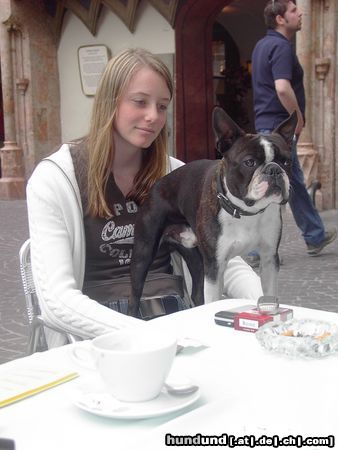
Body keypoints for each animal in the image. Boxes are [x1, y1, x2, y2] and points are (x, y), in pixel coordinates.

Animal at [128, 106, 298, 316]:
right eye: (249, 162)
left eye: (286, 162)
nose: (274, 170)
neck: (245, 212)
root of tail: (153, 187)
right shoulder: (215, 266)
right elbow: (213, 300)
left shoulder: (269, 260)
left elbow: (269, 292)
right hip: (143, 254)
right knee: (134, 296)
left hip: (196, 260)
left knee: (197, 294)